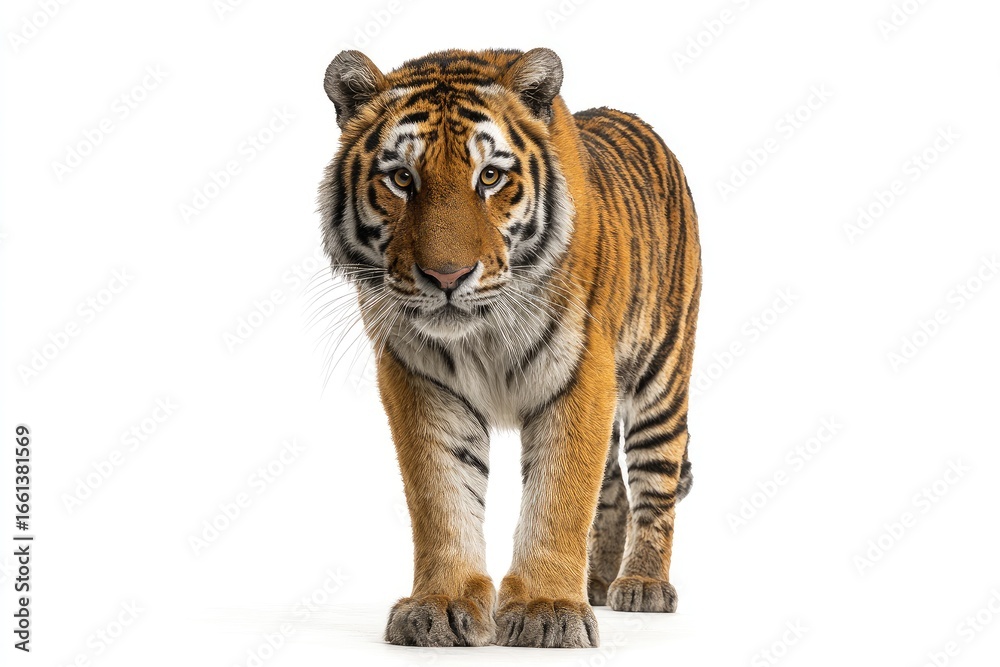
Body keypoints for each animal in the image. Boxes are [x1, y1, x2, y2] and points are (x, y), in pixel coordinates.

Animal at [318, 47, 701, 648]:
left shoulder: (581, 373)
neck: (483, 332)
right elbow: (441, 493)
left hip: (661, 379)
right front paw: (442, 606)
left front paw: (549, 610)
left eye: (490, 177)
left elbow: (560, 494)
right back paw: (596, 581)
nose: (446, 276)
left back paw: (641, 584)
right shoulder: (419, 378)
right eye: (402, 178)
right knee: (613, 488)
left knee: (652, 484)